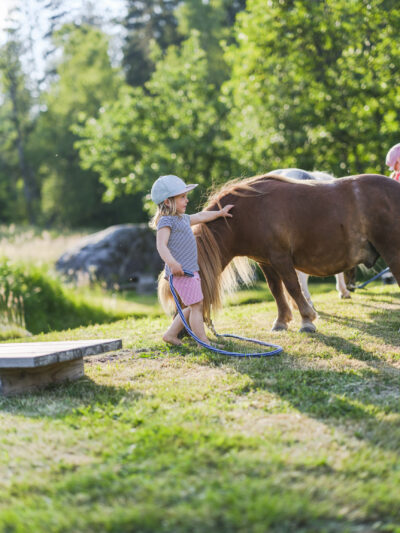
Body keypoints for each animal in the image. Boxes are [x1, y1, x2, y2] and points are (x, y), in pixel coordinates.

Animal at [158, 174, 398, 332]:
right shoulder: (266, 261)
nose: (182, 332)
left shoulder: (281, 258)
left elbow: (292, 286)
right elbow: (276, 289)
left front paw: (307, 320)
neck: (247, 213)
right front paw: (282, 321)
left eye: (181, 293)